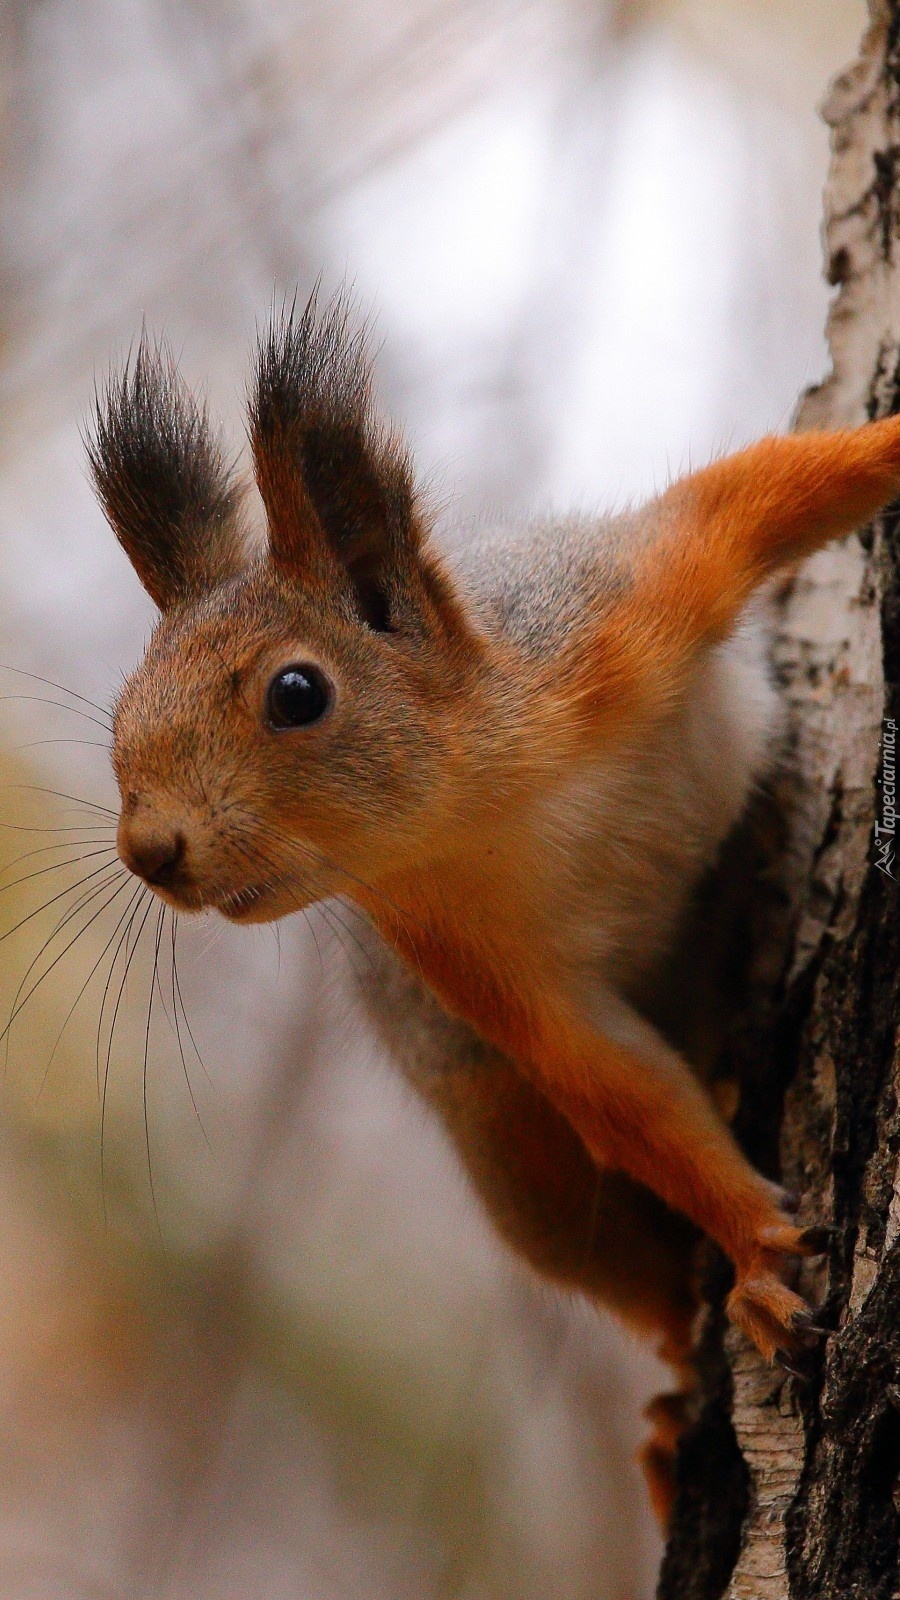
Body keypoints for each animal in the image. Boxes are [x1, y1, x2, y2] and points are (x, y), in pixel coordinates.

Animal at [87, 291, 896, 1523]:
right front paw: (758, 1251)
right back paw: (675, 1403)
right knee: (644, 1292)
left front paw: (887, 441)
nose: (150, 850)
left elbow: (772, 490)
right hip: (519, 1162)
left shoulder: (622, 608)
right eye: (124, 714)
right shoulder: (461, 948)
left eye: (297, 692)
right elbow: (613, 1084)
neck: (493, 797)